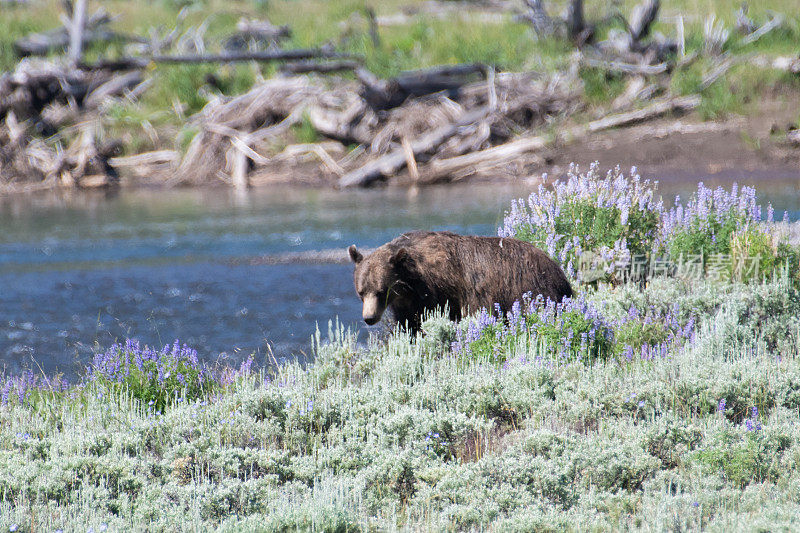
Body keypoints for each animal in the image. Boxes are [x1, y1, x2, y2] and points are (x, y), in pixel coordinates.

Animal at [346, 230, 572, 332]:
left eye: (381, 290)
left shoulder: (438, 292)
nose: (369, 318)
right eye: (361, 292)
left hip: (528, 288)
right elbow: (410, 325)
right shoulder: (405, 304)